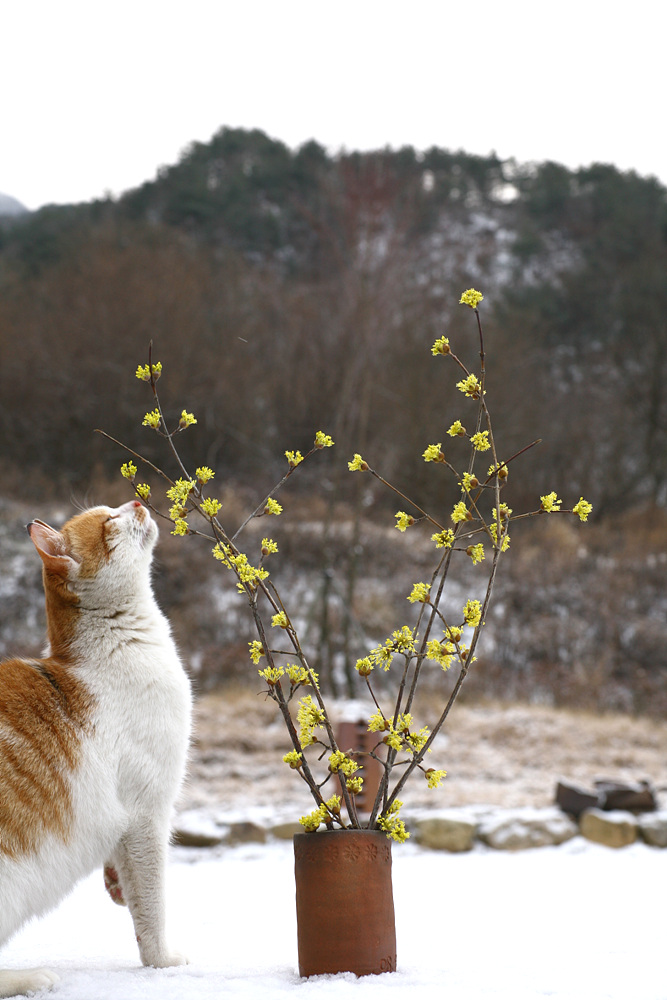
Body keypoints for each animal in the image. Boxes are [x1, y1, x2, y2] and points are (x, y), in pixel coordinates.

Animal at [0, 504, 190, 996]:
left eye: (111, 509)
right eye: (108, 523)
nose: (137, 503)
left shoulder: (127, 824)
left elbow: (127, 880)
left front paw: (113, 885)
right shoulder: (146, 815)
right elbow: (151, 903)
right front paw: (162, 960)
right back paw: (31, 977)